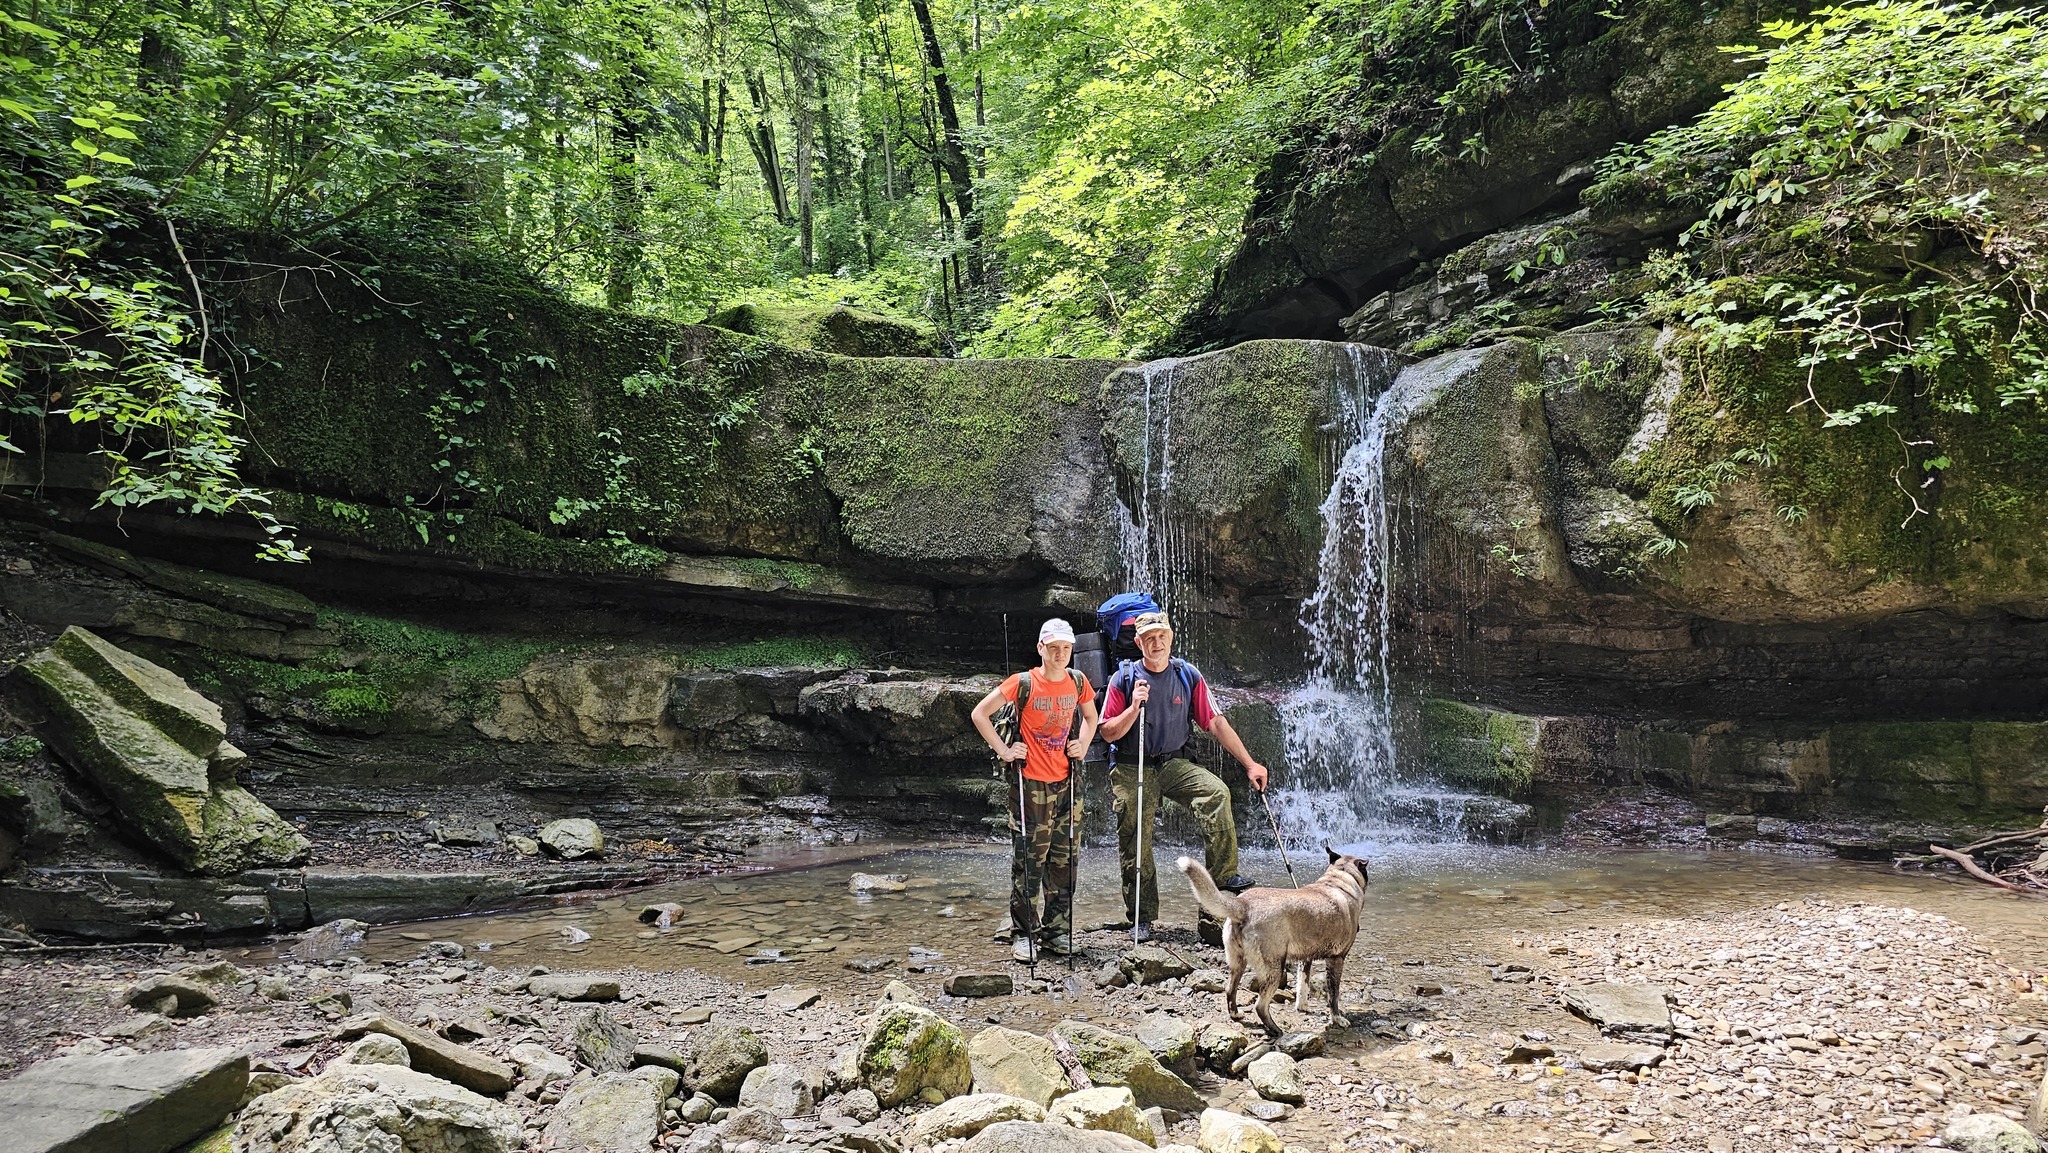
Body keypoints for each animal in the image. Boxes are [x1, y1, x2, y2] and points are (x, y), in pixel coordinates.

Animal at [1179, 847, 1368, 1036]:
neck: (1339, 881)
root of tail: (1243, 904)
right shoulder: (1336, 959)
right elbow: (1333, 995)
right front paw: (1337, 1019)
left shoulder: (1305, 959)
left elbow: (1302, 986)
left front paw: (1303, 1008)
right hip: (1275, 969)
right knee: (1260, 1006)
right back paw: (1276, 1030)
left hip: (1238, 963)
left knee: (1230, 989)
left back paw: (1236, 1014)